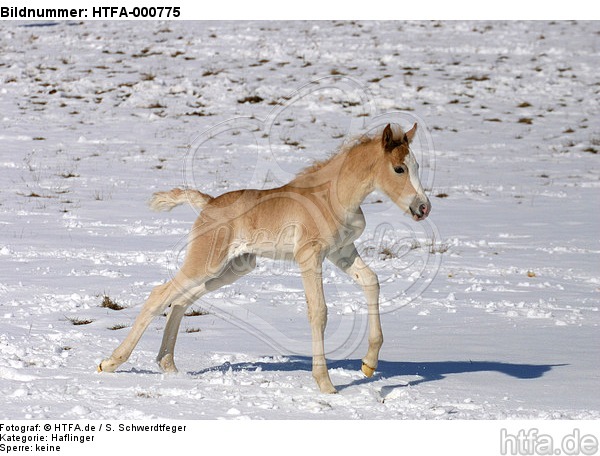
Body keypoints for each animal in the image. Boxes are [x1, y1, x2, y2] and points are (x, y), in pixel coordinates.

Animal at [102, 123, 432, 394]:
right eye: (399, 169)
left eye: (416, 165)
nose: (423, 207)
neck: (334, 197)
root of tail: (208, 203)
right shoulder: (309, 256)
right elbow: (319, 312)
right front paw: (325, 384)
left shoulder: (342, 253)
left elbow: (372, 283)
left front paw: (368, 364)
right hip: (207, 261)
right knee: (160, 295)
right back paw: (111, 362)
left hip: (232, 268)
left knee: (181, 300)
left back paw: (168, 365)